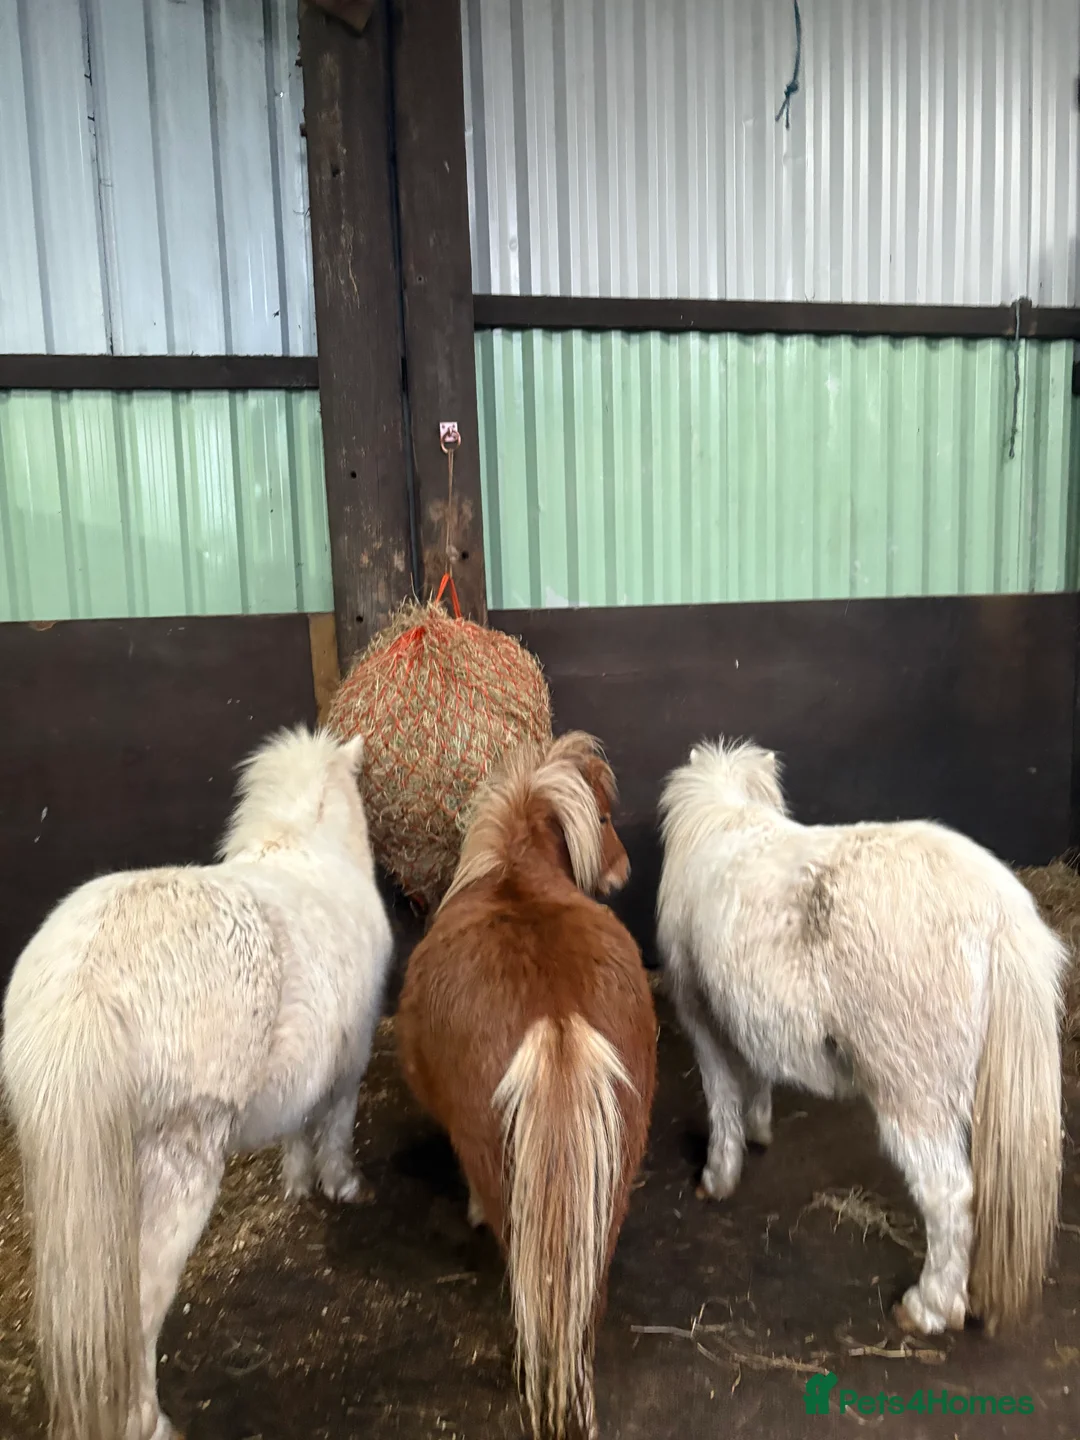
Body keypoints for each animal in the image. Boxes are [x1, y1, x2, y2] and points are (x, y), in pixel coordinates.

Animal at [2, 727, 393, 1440]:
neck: (308, 850)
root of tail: (84, 984)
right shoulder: (348, 1066)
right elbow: (336, 1128)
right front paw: (343, 1186)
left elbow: (299, 1131)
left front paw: (297, 1186)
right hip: (171, 1177)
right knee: (136, 1313)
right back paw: (150, 1422)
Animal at [656, 737, 1065, 1338]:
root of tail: (1000, 916)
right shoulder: (745, 1017)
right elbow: (754, 1079)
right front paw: (759, 1130)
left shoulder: (702, 1020)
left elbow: (722, 1099)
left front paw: (717, 1175)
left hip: (913, 1097)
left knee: (949, 1196)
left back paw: (927, 1308)